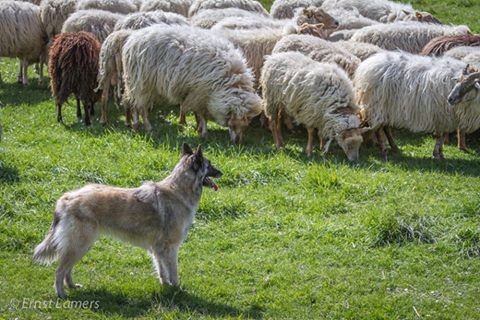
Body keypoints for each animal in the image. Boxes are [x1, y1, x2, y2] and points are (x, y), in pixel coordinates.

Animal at [32, 142, 222, 298]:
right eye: (209, 164)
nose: (222, 172)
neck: (179, 191)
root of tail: (65, 198)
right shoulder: (171, 248)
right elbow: (173, 272)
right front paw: (177, 289)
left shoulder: (158, 249)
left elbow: (162, 271)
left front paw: (166, 286)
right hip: (79, 244)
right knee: (60, 270)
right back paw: (61, 293)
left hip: (82, 245)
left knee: (67, 269)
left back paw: (72, 286)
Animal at [121, 23, 262, 141]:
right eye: (233, 123)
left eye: (246, 125)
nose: (238, 142)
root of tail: (132, 39)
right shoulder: (200, 93)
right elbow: (202, 114)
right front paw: (203, 132)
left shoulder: (197, 93)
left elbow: (195, 112)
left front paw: (197, 127)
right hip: (142, 83)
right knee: (140, 106)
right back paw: (146, 126)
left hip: (136, 83)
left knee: (132, 102)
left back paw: (135, 125)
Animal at [352, 51, 480, 160]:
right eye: (458, 81)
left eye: (469, 85)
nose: (450, 99)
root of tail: (366, 64)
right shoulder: (442, 115)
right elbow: (440, 136)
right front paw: (437, 155)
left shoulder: (447, 118)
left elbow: (443, 136)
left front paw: (441, 154)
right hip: (376, 106)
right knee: (378, 129)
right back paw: (384, 151)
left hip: (387, 108)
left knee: (385, 128)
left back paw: (394, 148)